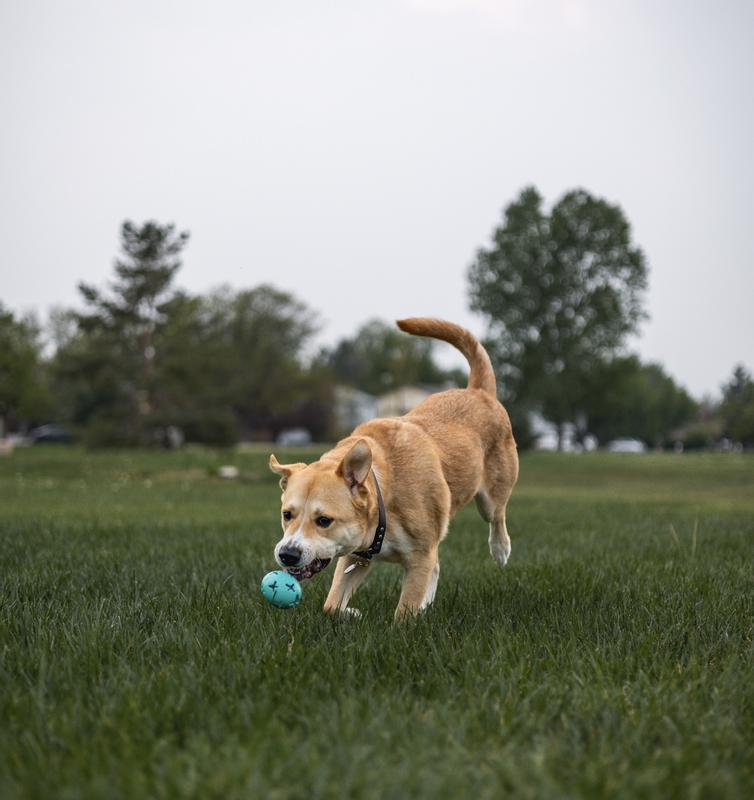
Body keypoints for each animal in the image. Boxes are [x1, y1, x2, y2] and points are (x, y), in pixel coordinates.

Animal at [268, 318, 516, 620]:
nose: (287, 554)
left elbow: (405, 611)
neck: (384, 498)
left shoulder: (420, 555)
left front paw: (404, 623)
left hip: (492, 494)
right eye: (287, 515)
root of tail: (478, 391)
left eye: (324, 520)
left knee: (497, 514)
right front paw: (351, 612)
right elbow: (331, 606)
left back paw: (500, 549)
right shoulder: (357, 556)